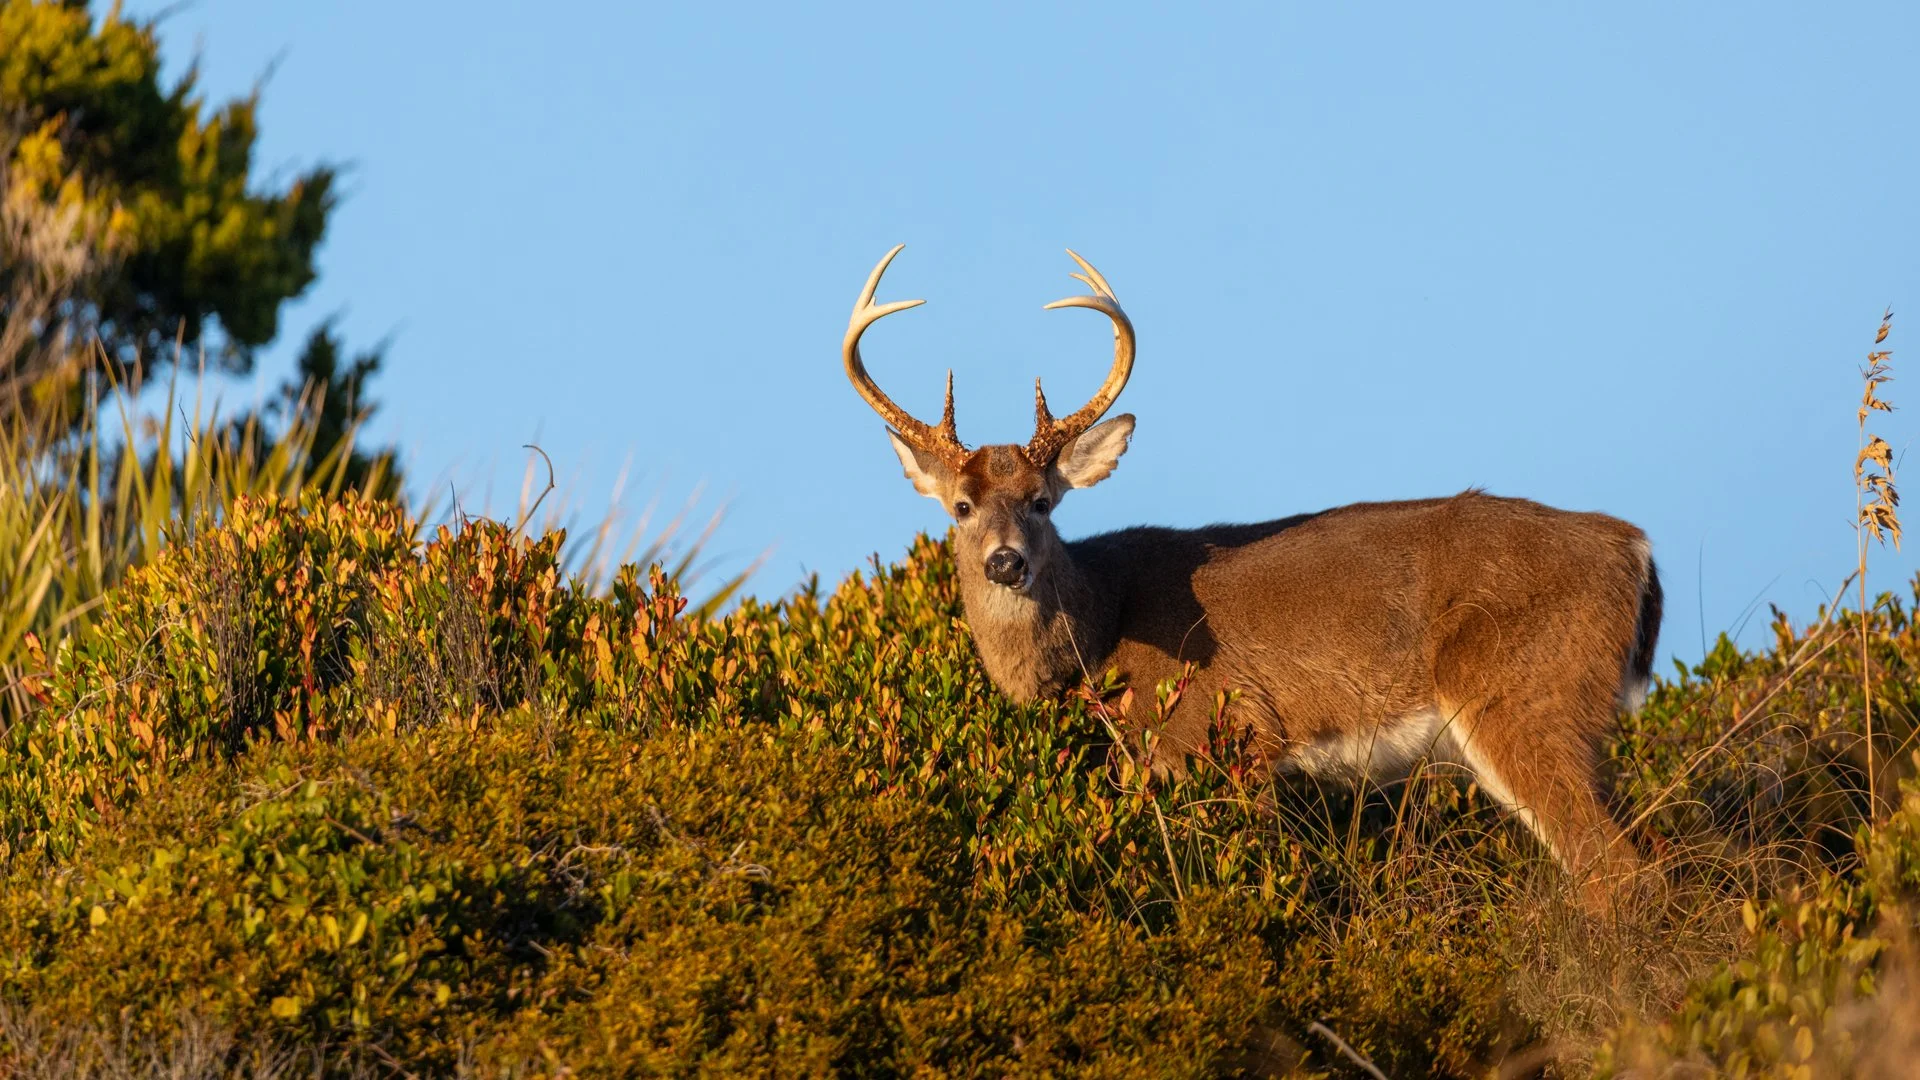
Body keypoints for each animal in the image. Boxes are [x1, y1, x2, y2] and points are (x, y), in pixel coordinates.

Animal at [840, 245, 1663, 907]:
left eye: (1043, 500)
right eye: (960, 506)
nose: (1006, 560)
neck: (1102, 634)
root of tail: (1634, 547)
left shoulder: (1225, 736)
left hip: (1521, 692)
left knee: (1612, 869)